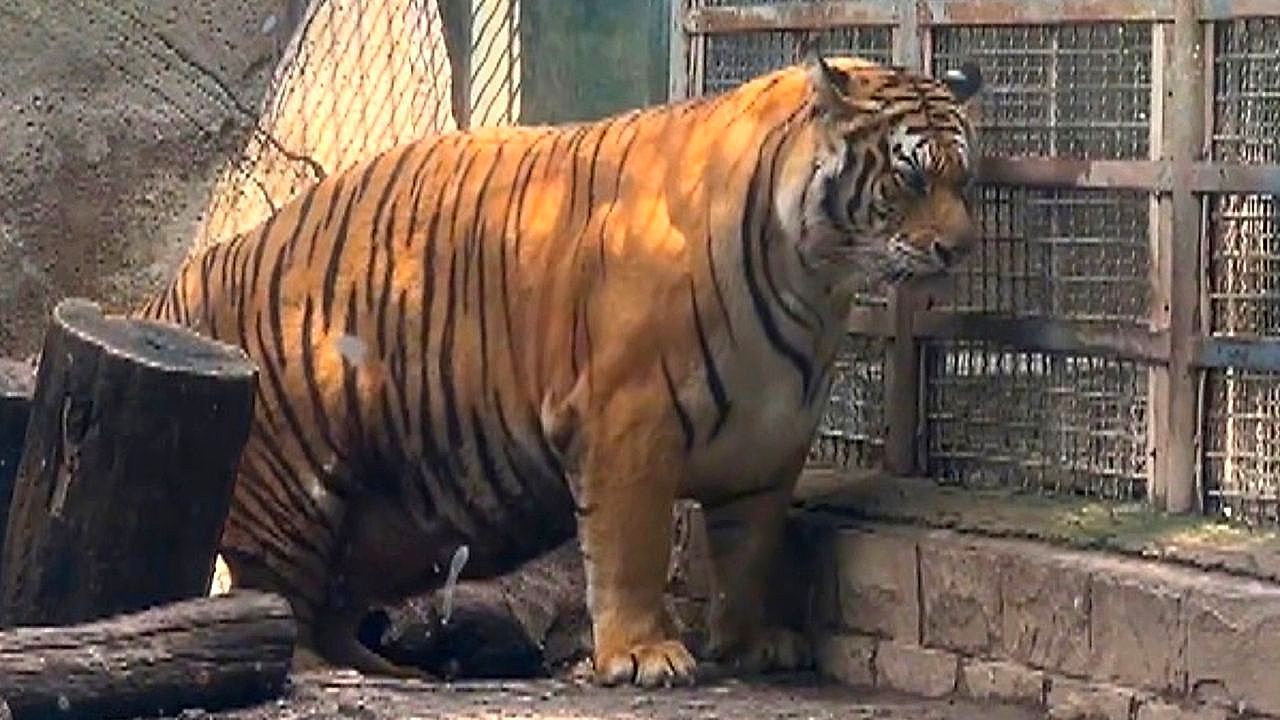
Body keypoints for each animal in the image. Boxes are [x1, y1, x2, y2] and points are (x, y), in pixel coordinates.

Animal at [135, 51, 983, 687]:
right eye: (910, 178)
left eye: (962, 179)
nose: (960, 249)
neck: (812, 281)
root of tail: (176, 284)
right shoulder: (628, 420)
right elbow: (631, 547)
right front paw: (643, 655)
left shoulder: (769, 442)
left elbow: (751, 553)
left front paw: (751, 644)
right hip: (293, 478)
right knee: (278, 600)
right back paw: (325, 670)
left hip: (387, 522)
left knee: (334, 599)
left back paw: (390, 670)